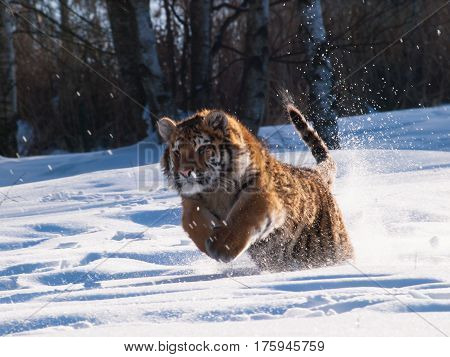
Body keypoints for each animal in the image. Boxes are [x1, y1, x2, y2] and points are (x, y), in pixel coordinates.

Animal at [159, 103, 356, 270]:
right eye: (177, 153)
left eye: (201, 149)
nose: (185, 172)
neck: (215, 190)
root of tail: (314, 173)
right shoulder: (192, 201)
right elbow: (192, 221)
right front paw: (208, 241)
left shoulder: (261, 195)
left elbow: (242, 216)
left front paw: (221, 247)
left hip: (331, 246)